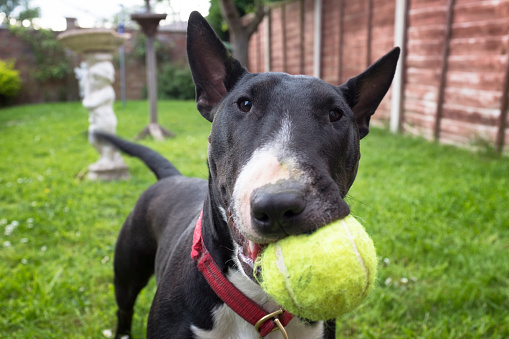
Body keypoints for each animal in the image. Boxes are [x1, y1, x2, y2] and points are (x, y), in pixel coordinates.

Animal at [105, 11, 398, 339]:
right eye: (244, 104)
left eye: (336, 114)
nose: (278, 205)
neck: (260, 306)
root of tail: (171, 176)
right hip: (128, 271)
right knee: (124, 307)